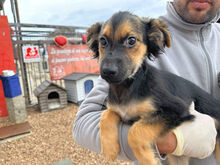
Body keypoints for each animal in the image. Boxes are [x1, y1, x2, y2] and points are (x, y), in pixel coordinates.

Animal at [87, 10, 220, 164]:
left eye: (131, 40)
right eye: (103, 41)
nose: (107, 71)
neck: (128, 86)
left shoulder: (176, 109)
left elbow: (134, 132)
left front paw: (147, 159)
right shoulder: (118, 109)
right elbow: (106, 114)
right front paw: (110, 148)